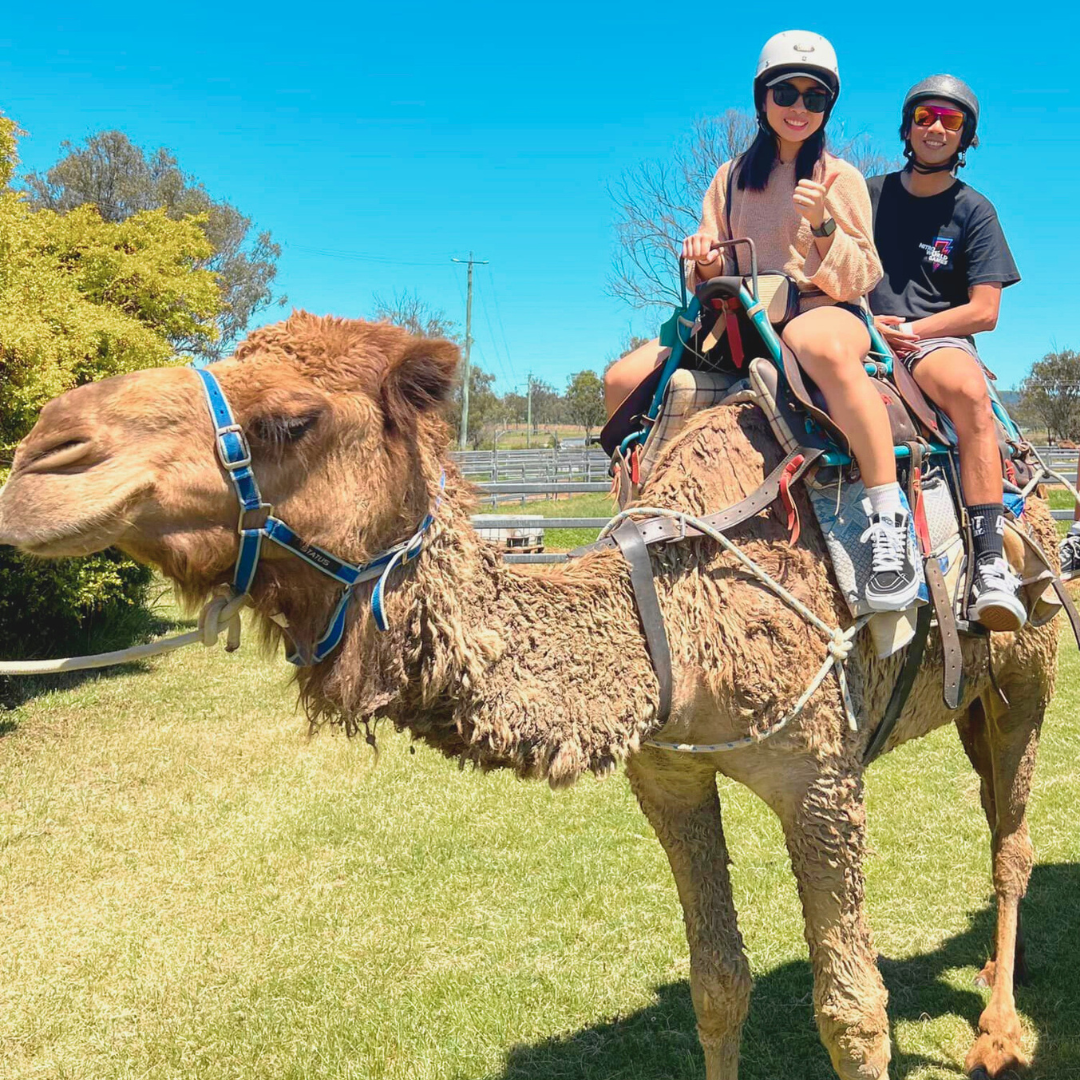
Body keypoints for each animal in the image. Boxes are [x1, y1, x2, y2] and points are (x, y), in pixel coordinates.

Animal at [0, 312, 1060, 1080]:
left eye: (293, 420)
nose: (43, 456)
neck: (677, 622)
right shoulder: (669, 775)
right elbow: (718, 982)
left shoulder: (823, 781)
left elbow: (853, 1011)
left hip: (1030, 672)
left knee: (1012, 842)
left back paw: (999, 1035)